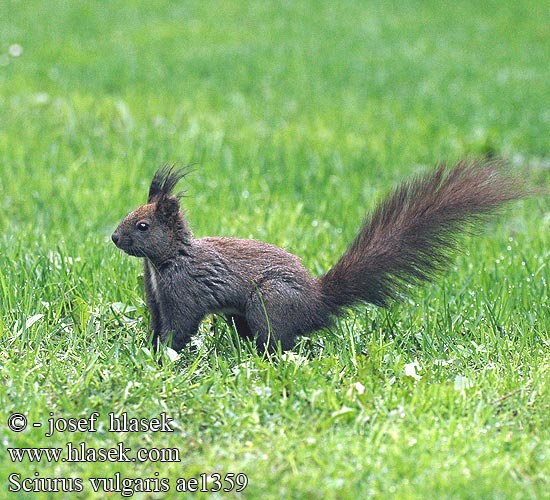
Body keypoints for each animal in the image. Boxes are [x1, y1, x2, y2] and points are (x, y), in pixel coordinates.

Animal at [111, 160, 520, 352]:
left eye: (143, 225)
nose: (114, 237)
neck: (166, 261)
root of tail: (317, 302)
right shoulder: (156, 297)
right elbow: (156, 323)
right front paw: (148, 350)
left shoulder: (185, 292)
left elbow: (180, 326)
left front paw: (165, 356)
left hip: (269, 301)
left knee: (280, 341)